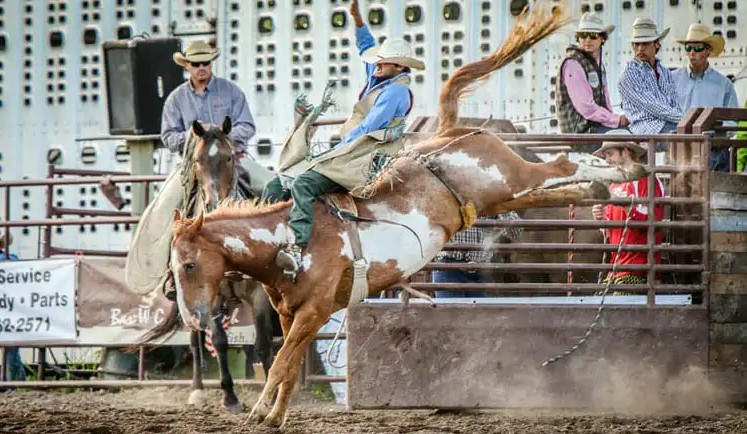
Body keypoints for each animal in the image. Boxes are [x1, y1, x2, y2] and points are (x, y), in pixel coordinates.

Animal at [141, 117, 280, 412]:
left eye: (229, 157)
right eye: (197, 160)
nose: (214, 202)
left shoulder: (259, 294)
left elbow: (263, 344)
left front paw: (270, 396)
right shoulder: (211, 295)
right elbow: (218, 340)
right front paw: (230, 397)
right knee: (196, 341)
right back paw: (197, 390)